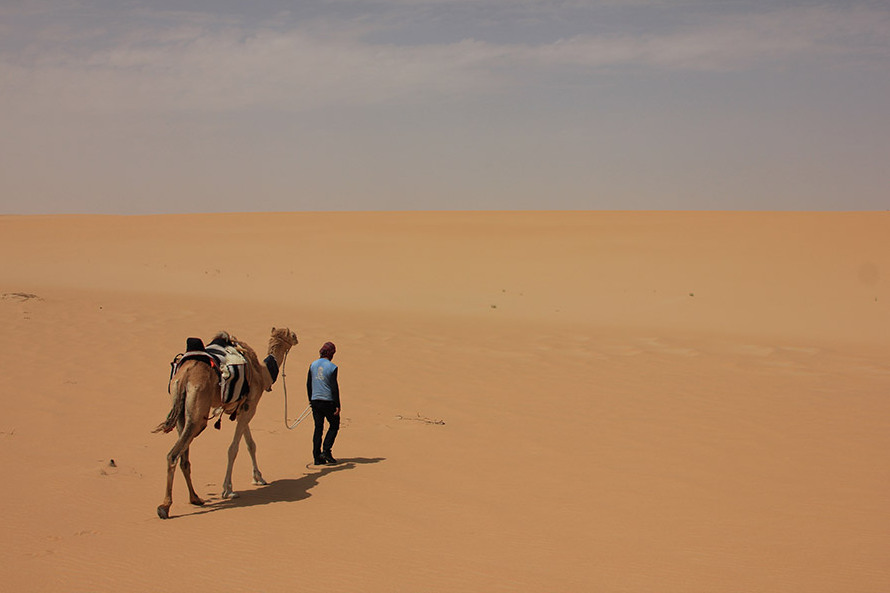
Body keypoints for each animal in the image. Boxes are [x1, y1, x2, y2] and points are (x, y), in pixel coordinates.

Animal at [153, 326, 298, 516]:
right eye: (291, 334)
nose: (297, 338)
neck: (262, 372)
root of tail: (186, 374)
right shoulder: (250, 407)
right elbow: (233, 448)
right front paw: (228, 490)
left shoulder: (243, 408)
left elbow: (250, 444)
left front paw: (258, 478)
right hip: (198, 414)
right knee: (173, 454)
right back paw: (165, 507)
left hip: (180, 410)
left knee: (183, 457)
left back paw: (195, 498)